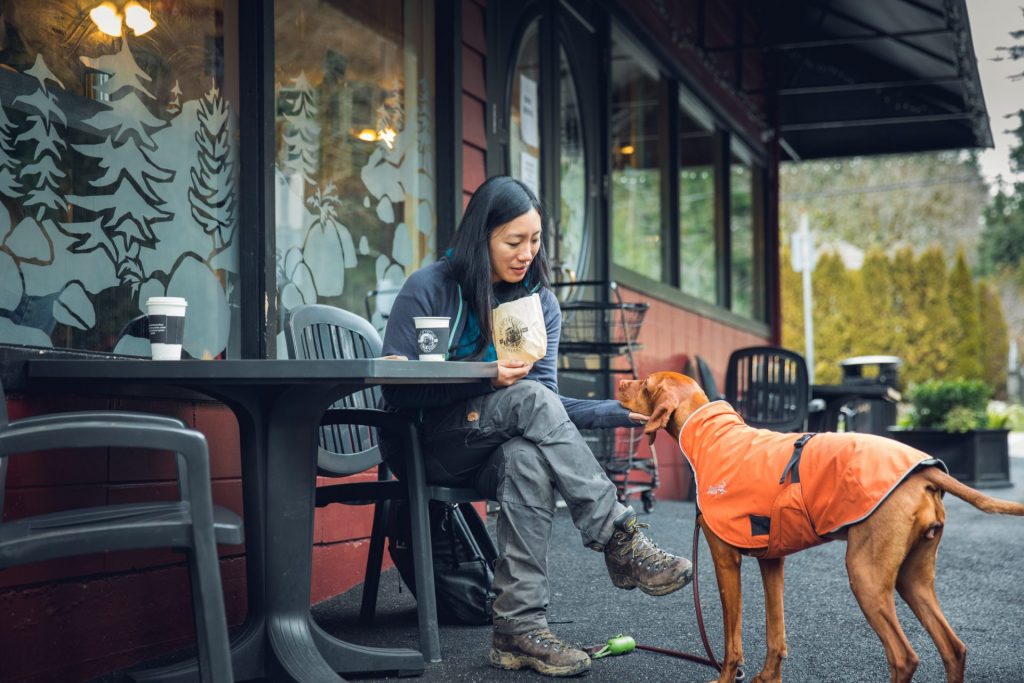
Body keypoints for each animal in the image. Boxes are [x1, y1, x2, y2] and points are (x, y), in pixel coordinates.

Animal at [614, 374, 1024, 683]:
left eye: (645, 382)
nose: (618, 380)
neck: (712, 435)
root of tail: (925, 471)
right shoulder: (772, 560)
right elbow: (776, 632)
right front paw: (768, 678)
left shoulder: (725, 559)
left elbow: (732, 639)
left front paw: (727, 677)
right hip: (913, 578)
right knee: (954, 649)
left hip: (866, 576)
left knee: (904, 657)